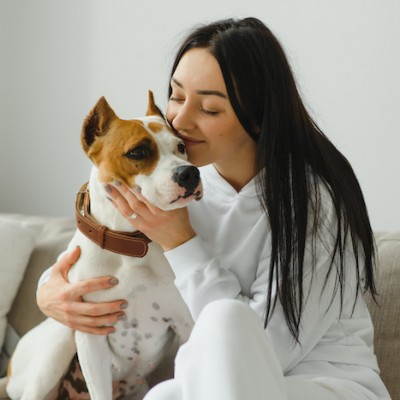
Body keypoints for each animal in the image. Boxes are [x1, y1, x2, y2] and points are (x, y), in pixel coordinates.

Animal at [7, 92, 203, 398]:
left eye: (181, 147)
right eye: (137, 152)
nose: (190, 173)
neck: (129, 244)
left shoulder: (185, 323)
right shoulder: (91, 335)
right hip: (60, 338)